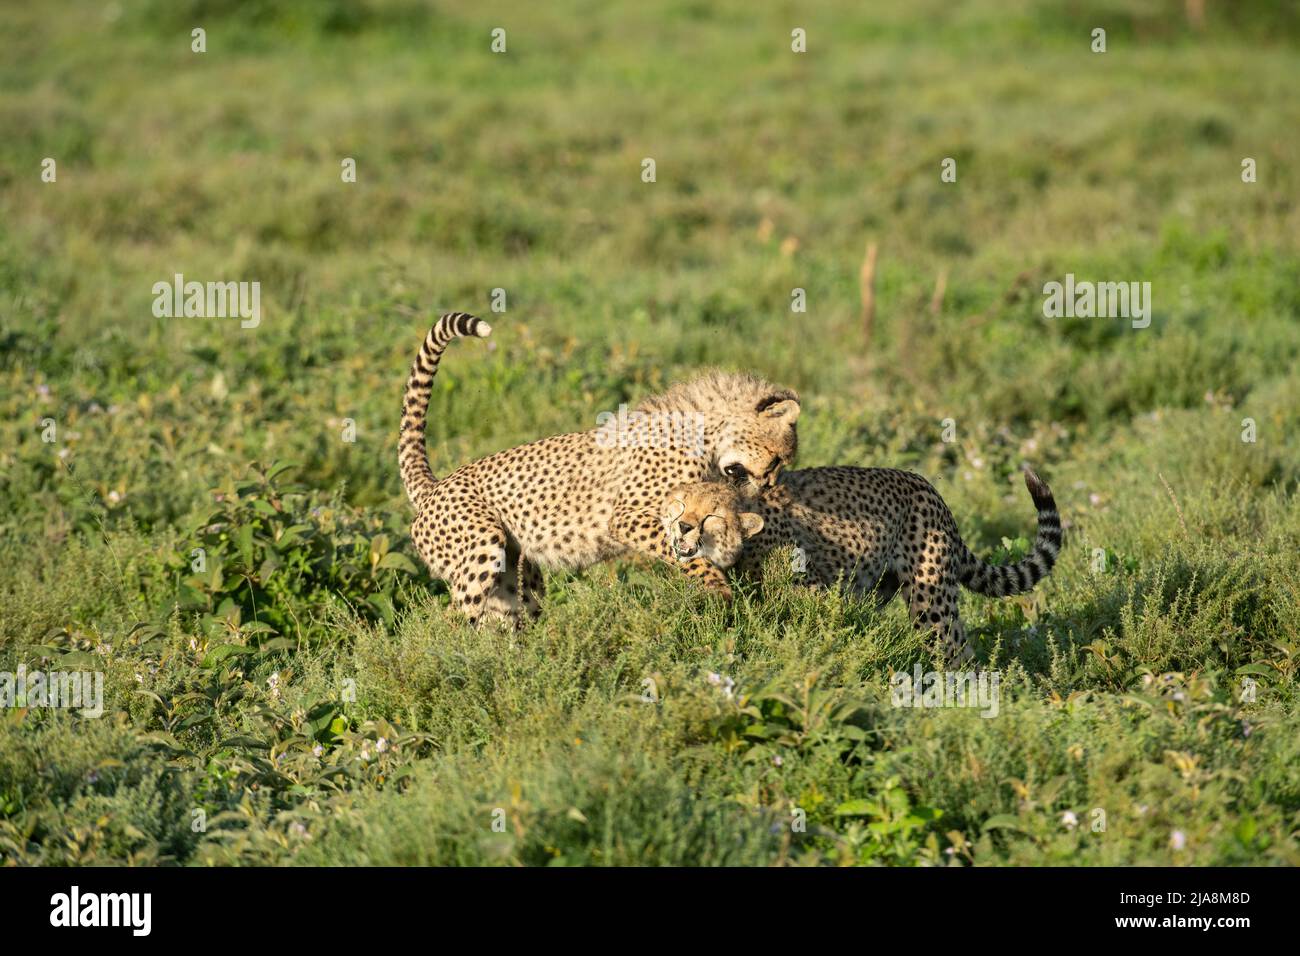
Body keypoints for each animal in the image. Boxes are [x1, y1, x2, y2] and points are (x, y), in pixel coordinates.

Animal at [397, 312, 800, 629]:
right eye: (777, 460)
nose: (766, 491)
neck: (706, 434)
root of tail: (435, 486)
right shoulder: (627, 518)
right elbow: (680, 549)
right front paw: (717, 585)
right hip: (480, 550)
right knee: (448, 623)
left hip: (511, 578)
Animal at [660, 465, 1055, 660]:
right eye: (682, 504)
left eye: (712, 516)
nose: (683, 526)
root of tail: (931, 489)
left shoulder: (814, 589)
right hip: (875, 588)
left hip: (931, 601)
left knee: (955, 648)